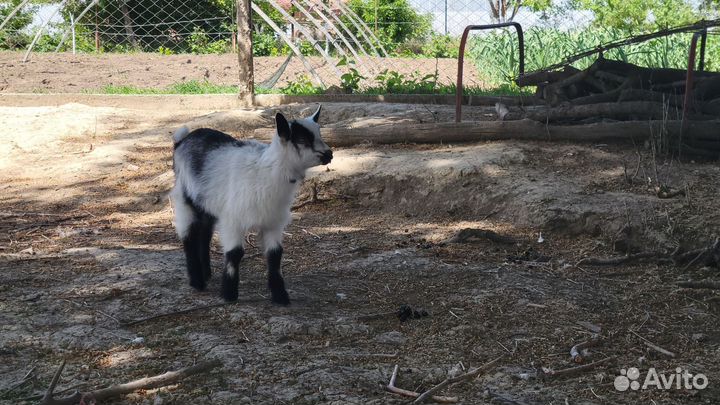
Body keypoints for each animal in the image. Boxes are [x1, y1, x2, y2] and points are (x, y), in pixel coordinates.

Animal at [170, 105, 332, 305]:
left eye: (319, 133)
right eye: (301, 139)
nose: (329, 154)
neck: (266, 171)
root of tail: (181, 141)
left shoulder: (273, 222)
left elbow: (275, 254)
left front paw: (280, 296)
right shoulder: (233, 220)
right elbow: (235, 253)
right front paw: (229, 294)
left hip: (207, 204)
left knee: (204, 233)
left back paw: (206, 274)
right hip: (184, 199)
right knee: (188, 235)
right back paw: (197, 281)